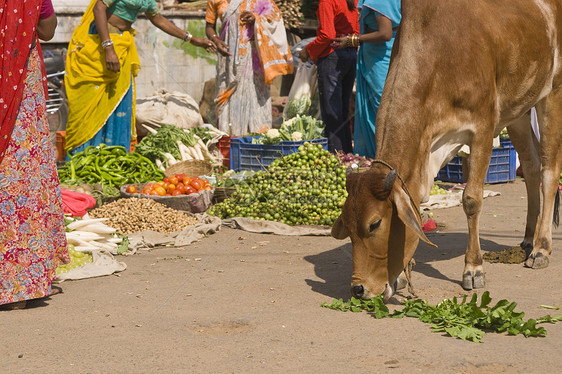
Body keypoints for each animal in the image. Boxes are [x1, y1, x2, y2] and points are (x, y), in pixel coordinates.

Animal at [330, 0, 556, 300]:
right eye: (347, 224)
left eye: (375, 224)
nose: (358, 288)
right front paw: (400, 275)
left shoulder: (482, 129)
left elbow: (471, 200)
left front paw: (473, 268)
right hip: (518, 109)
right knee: (530, 167)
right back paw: (529, 239)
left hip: (552, 93)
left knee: (549, 172)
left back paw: (541, 248)